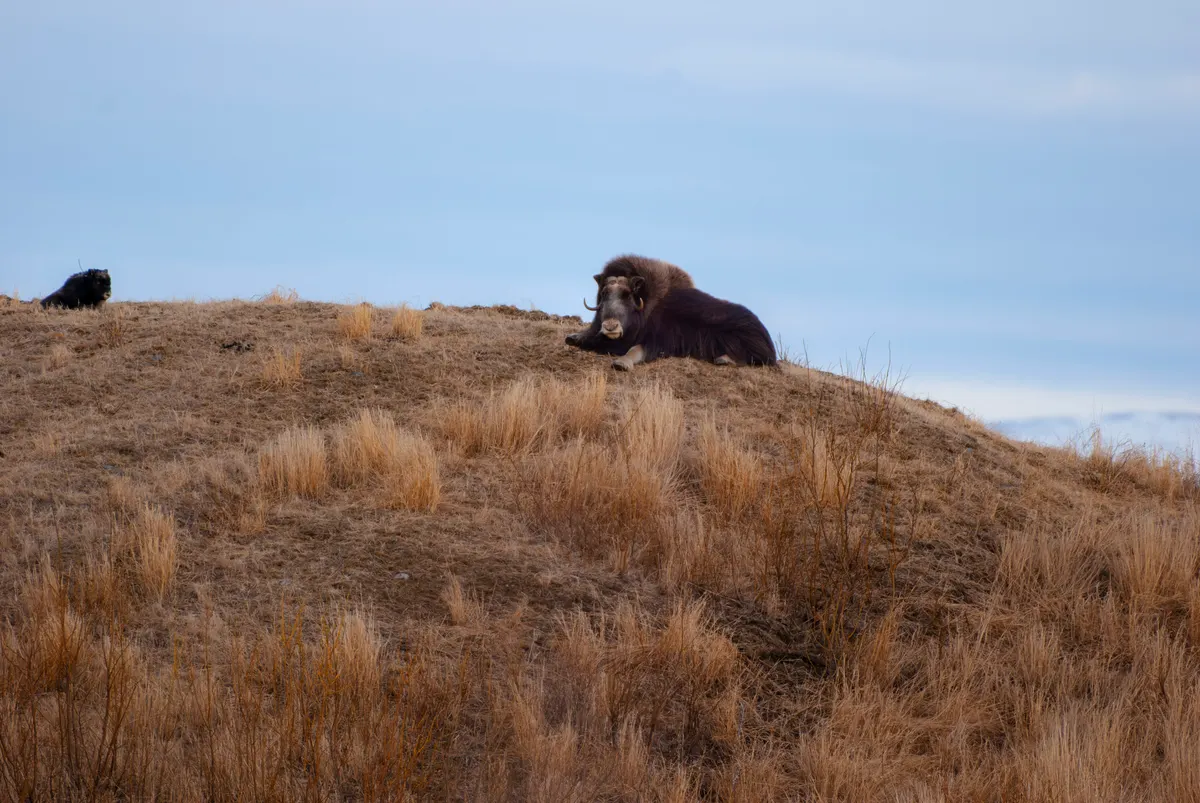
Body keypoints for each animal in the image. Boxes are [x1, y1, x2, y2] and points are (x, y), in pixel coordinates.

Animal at [574, 274, 777, 371]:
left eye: (627, 295)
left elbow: (635, 350)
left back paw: (723, 359)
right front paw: (574, 338)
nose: (610, 326)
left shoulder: (658, 342)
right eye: (604, 295)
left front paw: (621, 363)